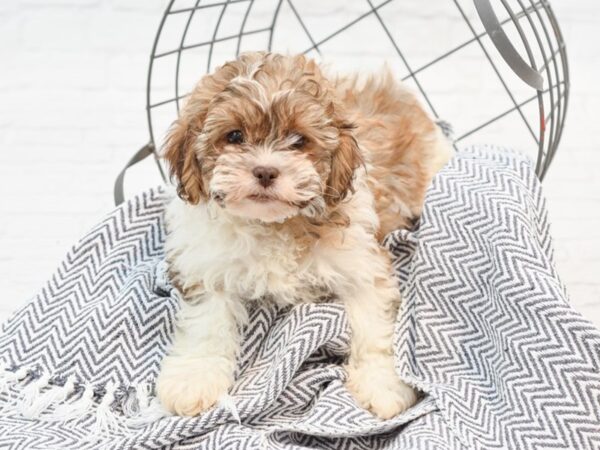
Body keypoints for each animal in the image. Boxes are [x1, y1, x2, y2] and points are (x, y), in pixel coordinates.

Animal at [157, 52, 452, 422]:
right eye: (234, 136)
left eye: (298, 141)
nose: (265, 171)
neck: (274, 224)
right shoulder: (206, 266)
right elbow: (206, 324)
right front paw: (193, 379)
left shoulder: (363, 266)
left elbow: (374, 329)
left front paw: (382, 385)